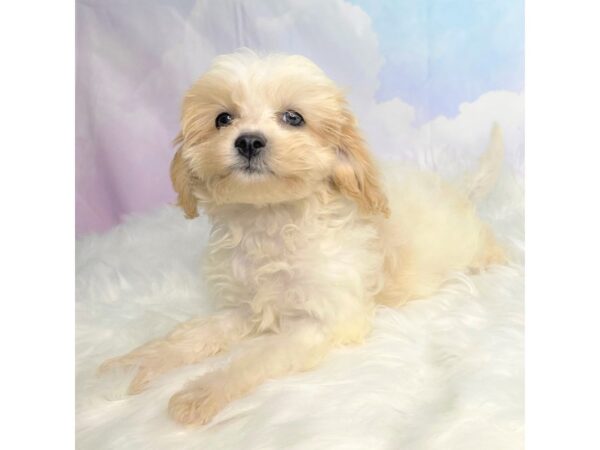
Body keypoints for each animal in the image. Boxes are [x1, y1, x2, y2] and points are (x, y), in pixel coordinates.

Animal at [99, 51, 506, 426]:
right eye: (222, 119)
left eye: (293, 118)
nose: (249, 141)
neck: (269, 218)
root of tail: (458, 190)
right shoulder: (242, 305)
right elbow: (189, 335)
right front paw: (126, 367)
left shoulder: (322, 319)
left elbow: (256, 357)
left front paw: (201, 392)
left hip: (470, 245)